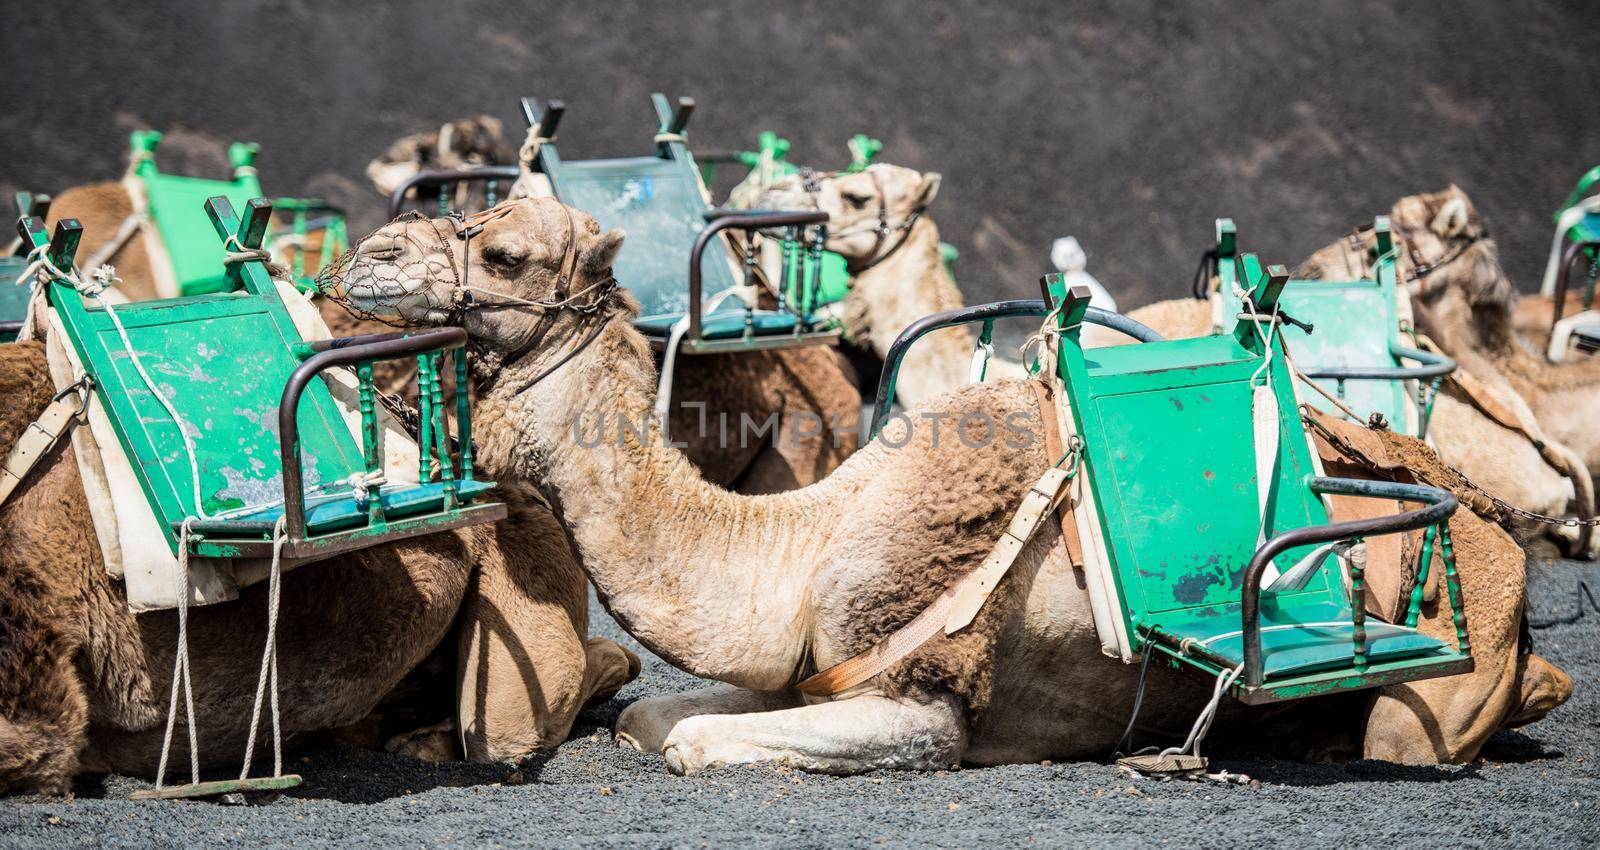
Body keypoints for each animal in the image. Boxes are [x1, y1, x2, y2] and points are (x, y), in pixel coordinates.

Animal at [337, 196, 1574, 774]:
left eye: (503, 254)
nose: (366, 259)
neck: (798, 542)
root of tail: (1494, 527)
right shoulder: (811, 663)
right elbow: (651, 716)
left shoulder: (925, 697)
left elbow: (692, 743)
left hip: (1449, 637)